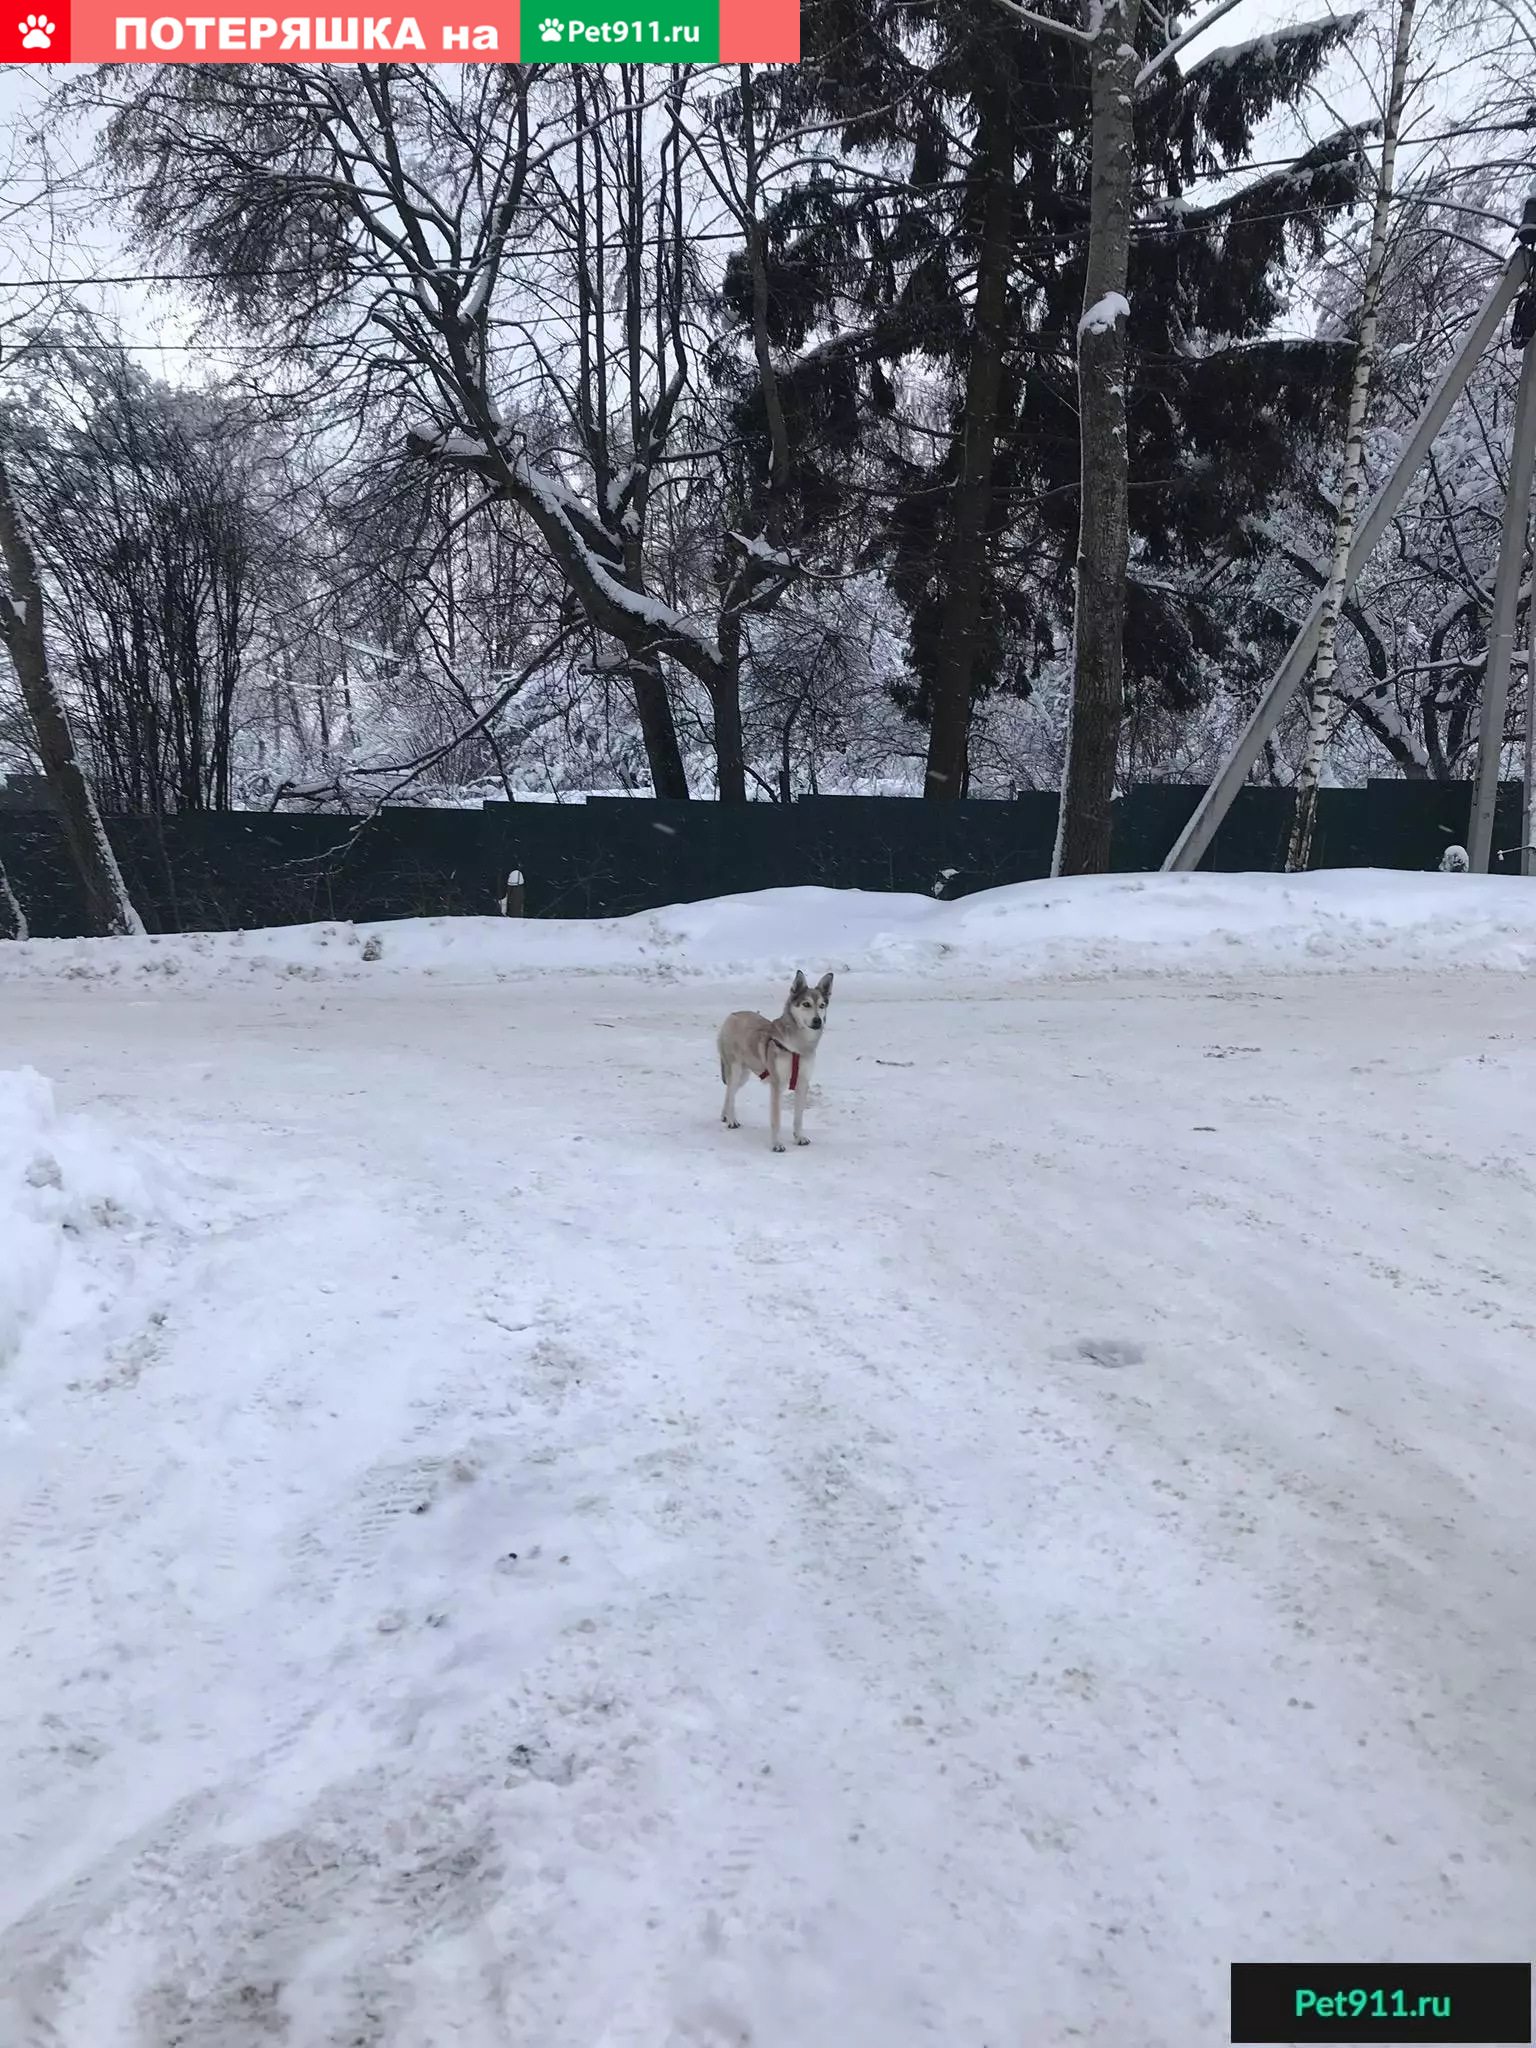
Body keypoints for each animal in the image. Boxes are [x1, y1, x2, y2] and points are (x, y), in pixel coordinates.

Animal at [720, 970, 835, 1155]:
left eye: (822, 1005)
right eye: (806, 1004)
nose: (818, 1021)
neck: (797, 1046)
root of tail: (733, 1015)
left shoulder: (803, 1083)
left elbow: (798, 1118)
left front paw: (799, 1138)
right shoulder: (776, 1085)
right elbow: (776, 1120)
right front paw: (776, 1144)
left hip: (744, 1075)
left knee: (729, 1092)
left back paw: (725, 1115)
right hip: (736, 1069)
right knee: (731, 1093)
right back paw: (731, 1120)